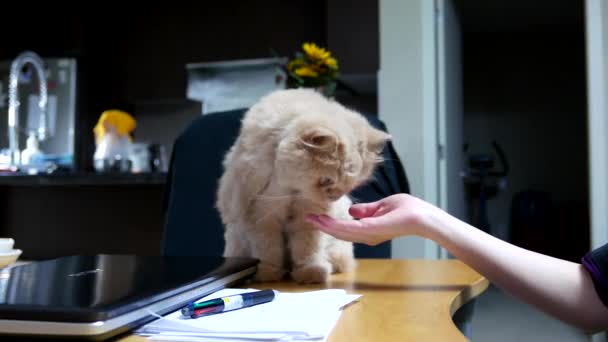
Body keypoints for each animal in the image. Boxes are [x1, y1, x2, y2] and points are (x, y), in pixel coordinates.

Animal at [216, 88, 390, 284]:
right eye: (327, 180)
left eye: (350, 184)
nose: (335, 197)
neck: (292, 189)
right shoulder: (262, 216)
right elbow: (268, 250)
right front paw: (268, 275)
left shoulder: (307, 216)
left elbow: (307, 249)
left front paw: (311, 274)